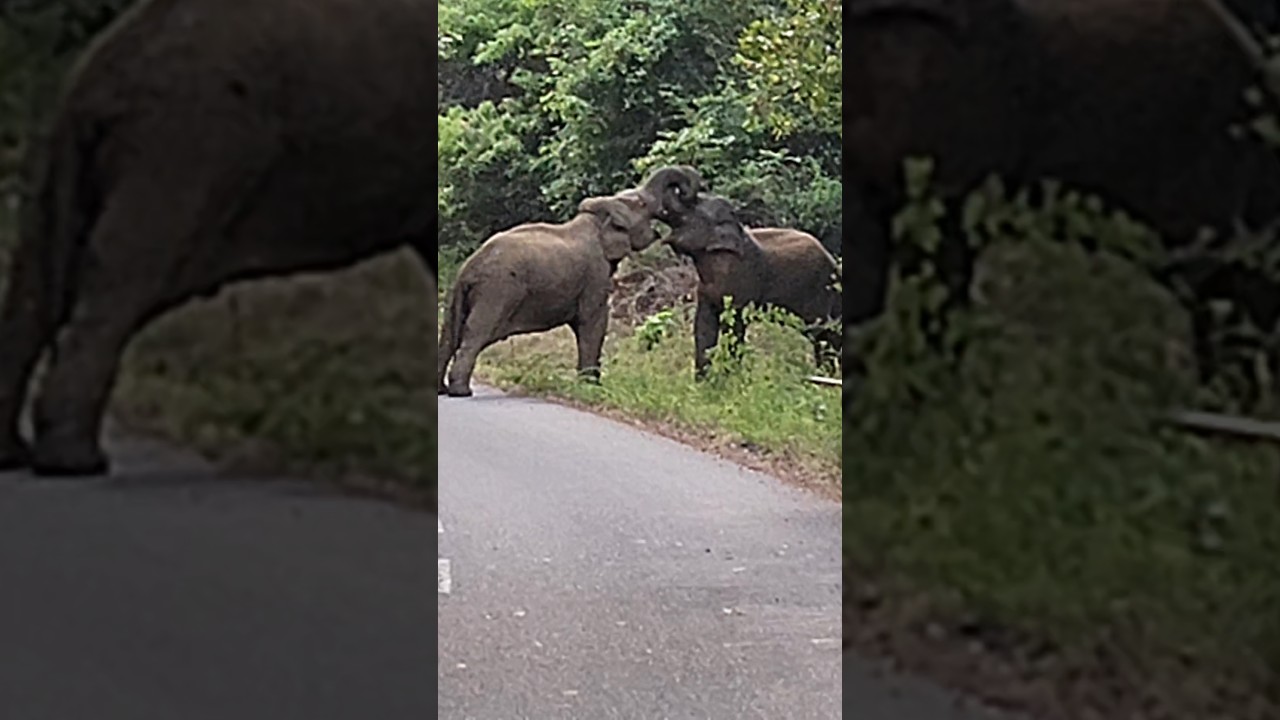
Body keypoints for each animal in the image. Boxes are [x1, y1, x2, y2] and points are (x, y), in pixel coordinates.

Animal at [0, 0, 440, 476]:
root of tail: (94, 81)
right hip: (183, 142)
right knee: (121, 276)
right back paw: (74, 462)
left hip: (80, 161)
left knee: (39, 281)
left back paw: (15, 455)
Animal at [437, 194, 659, 398]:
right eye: (641, 204)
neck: (594, 219)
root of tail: (470, 268)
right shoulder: (594, 275)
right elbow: (593, 322)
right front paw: (592, 389)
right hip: (496, 291)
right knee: (476, 333)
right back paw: (461, 392)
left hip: (460, 294)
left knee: (450, 334)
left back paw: (442, 390)